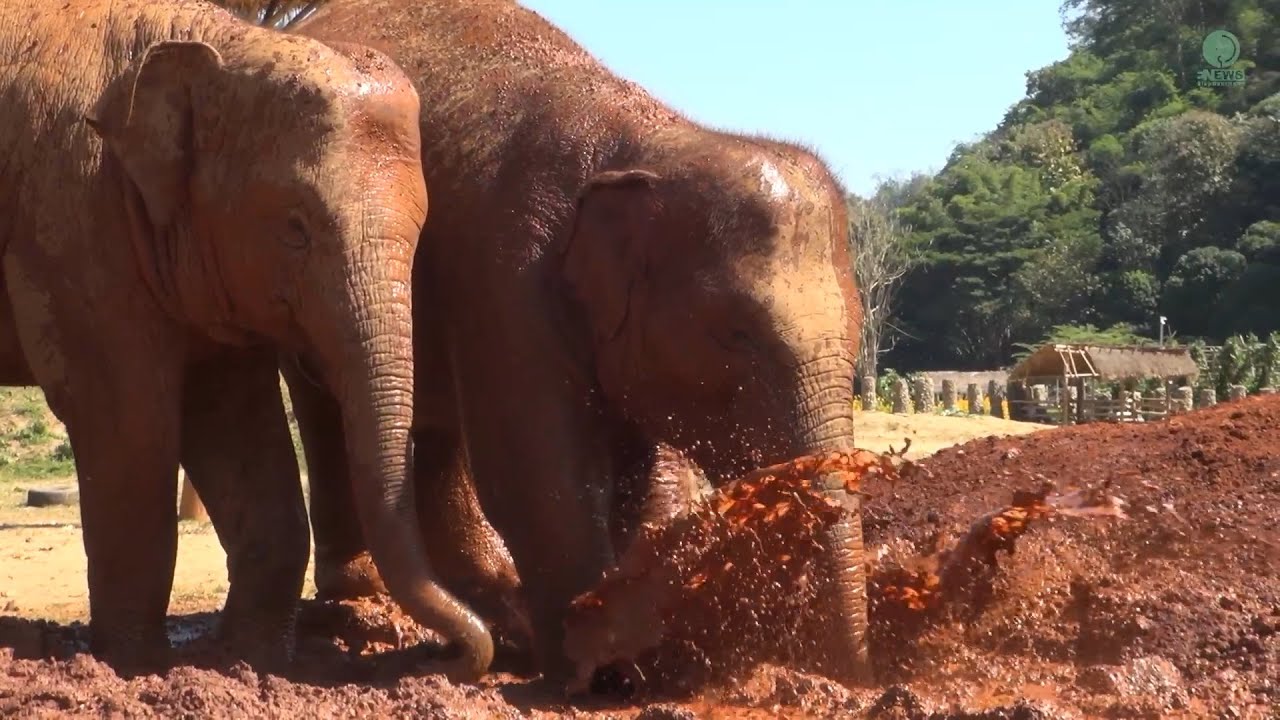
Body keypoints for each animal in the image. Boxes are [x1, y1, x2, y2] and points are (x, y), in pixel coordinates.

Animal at [0, 0, 491, 681]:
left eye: (423, 227)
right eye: (295, 228)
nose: (458, 655)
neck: (215, 45)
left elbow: (236, 422)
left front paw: (251, 660)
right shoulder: (70, 217)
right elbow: (126, 420)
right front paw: (135, 667)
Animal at [285, 0, 868, 686]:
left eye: (859, 335)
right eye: (735, 334)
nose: (849, 678)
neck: (652, 139)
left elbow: (644, 476)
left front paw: (637, 650)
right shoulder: (506, 271)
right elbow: (541, 473)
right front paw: (592, 674)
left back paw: (493, 610)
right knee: (326, 403)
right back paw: (364, 605)